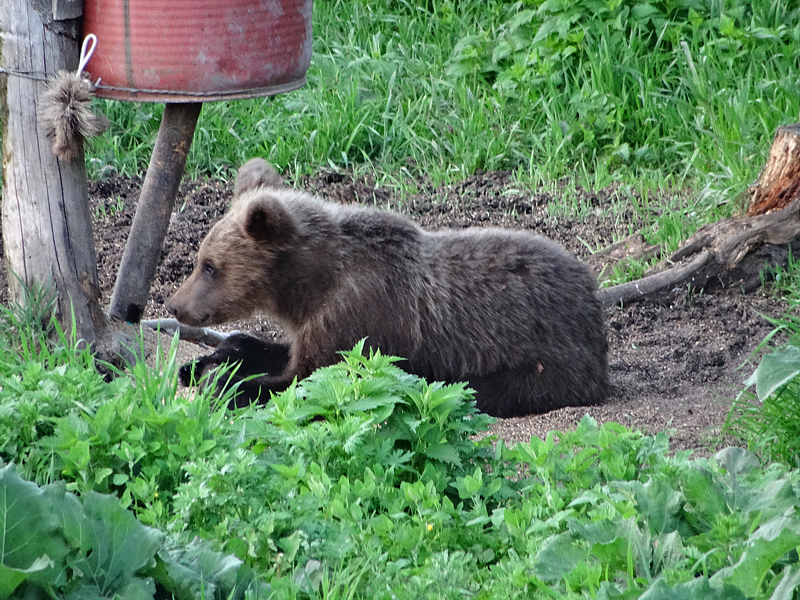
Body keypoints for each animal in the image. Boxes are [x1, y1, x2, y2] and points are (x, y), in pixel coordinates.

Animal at [166, 158, 608, 417]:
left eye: (209, 266)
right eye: (200, 259)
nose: (174, 305)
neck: (310, 285)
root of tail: (590, 287)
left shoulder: (359, 314)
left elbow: (307, 379)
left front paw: (226, 384)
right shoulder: (315, 323)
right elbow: (272, 350)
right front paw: (203, 362)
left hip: (538, 354)